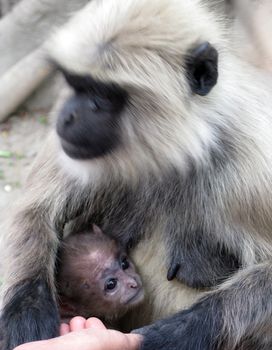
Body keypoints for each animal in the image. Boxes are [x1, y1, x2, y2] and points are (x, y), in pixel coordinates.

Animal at [2, 0, 272, 348]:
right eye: (75, 85)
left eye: (101, 96)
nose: (66, 115)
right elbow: (34, 209)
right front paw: (25, 314)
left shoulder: (251, 164)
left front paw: (173, 335)